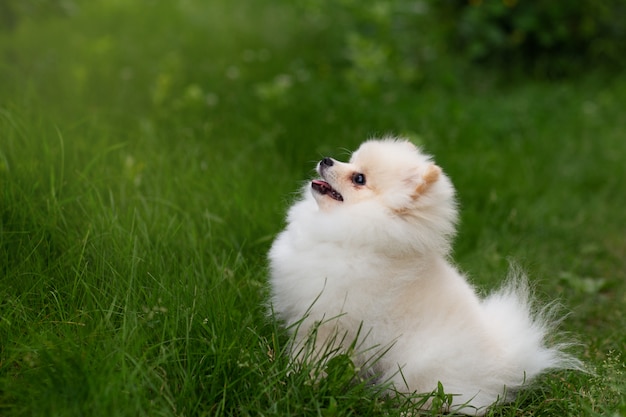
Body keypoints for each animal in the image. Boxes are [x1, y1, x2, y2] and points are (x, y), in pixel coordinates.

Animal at [268, 136, 580, 412]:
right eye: (351, 158)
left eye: (359, 179)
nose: (326, 159)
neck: (355, 234)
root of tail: (504, 367)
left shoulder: (329, 325)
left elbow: (311, 360)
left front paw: (297, 382)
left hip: (419, 370)